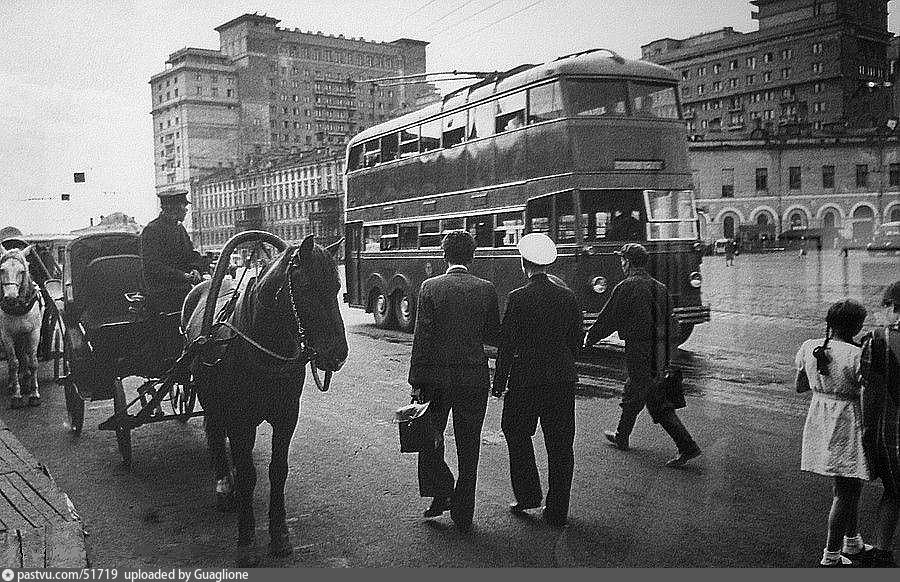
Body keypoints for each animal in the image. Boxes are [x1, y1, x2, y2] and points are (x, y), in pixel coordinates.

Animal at [0, 249, 44, 408]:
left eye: (22, 271)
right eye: (2, 270)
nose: (11, 298)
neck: (18, 308)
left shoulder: (33, 332)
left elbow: (33, 362)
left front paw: (34, 394)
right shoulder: (6, 335)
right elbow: (14, 363)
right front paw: (16, 395)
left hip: (24, 335)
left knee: (25, 356)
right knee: (18, 357)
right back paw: (16, 383)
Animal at [183, 235, 348, 568]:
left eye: (337, 286)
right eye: (306, 286)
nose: (337, 353)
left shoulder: (287, 417)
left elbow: (278, 471)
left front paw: (280, 533)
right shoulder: (239, 421)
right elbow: (248, 475)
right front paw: (246, 540)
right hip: (214, 403)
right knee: (215, 434)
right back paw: (224, 484)